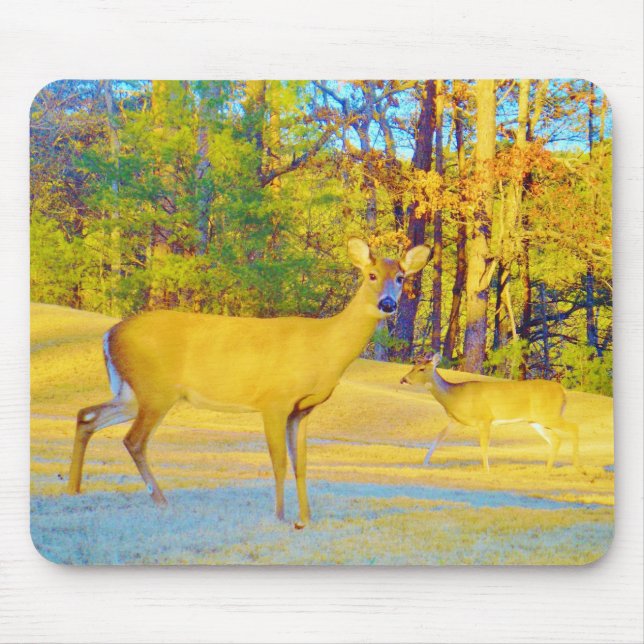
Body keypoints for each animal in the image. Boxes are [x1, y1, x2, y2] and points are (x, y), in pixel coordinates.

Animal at [68, 238, 430, 529]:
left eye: (400, 278)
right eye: (371, 275)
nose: (388, 304)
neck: (324, 349)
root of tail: (109, 334)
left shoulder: (303, 409)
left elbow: (301, 463)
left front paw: (306, 517)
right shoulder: (274, 401)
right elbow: (279, 462)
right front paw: (281, 516)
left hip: (132, 392)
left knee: (87, 415)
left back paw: (73, 488)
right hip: (155, 390)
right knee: (133, 440)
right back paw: (160, 499)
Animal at [400, 353, 580, 471]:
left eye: (422, 368)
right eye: (413, 366)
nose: (403, 379)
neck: (455, 396)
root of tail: (563, 391)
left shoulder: (484, 419)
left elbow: (484, 445)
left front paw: (486, 469)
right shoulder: (456, 421)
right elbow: (438, 438)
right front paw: (424, 462)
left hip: (550, 414)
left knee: (574, 428)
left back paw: (576, 465)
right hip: (537, 420)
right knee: (555, 439)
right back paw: (547, 468)